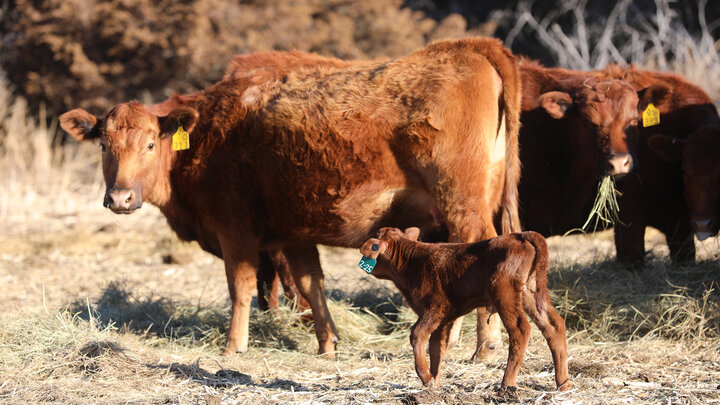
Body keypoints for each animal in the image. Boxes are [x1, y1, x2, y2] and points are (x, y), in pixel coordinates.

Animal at [60, 36, 524, 356]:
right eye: (104, 145)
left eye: (150, 144)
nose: (120, 198)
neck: (212, 130)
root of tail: (471, 47)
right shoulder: (294, 233)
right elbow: (310, 284)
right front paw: (327, 344)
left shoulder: (235, 231)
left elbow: (242, 287)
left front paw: (234, 346)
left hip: (461, 205)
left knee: (479, 251)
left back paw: (481, 346)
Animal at [358, 226, 572, 390]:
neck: (413, 262)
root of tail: (520, 235)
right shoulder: (443, 319)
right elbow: (436, 347)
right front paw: (435, 382)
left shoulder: (435, 308)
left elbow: (417, 335)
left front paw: (425, 377)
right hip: (531, 292)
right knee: (553, 325)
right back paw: (563, 384)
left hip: (505, 294)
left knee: (520, 329)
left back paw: (507, 384)